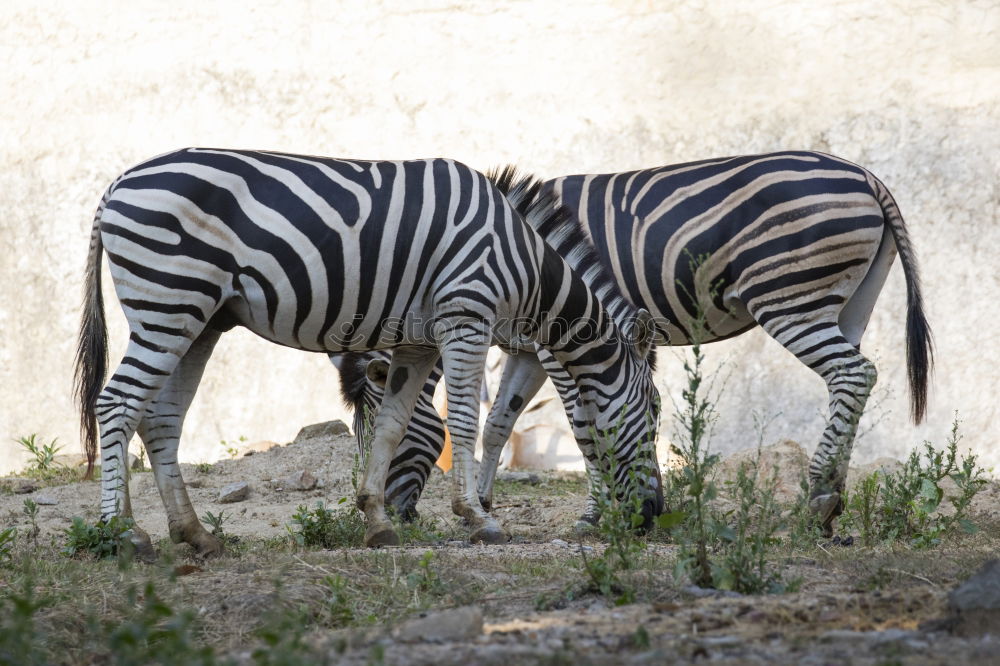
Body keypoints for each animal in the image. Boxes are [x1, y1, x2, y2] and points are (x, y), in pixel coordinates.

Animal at [74, 148, 660, 556]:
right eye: (655, 412)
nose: (653, 513)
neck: (528, 263)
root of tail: (116, 184)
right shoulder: (466, 318)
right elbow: (465, 422)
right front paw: (478, 518)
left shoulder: (418, 341)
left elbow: (394, 427)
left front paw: (376, 521)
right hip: (169, 302)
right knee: (117, 404)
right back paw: (122, 534)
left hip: (198, 319)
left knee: (160, 418)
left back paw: (194, 535)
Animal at [334, 152, 928, 536]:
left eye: (385, 433)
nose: (391, 514)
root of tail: (868, 177)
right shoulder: (529, 348)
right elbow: (500, 422)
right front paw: (484, 502)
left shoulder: (558, 344)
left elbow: (582, 424)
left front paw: (595, 515)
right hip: (849, 303)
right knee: (846, 383)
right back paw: (832, 499)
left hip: (789, 295)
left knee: (853, 374)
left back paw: (820, 494)